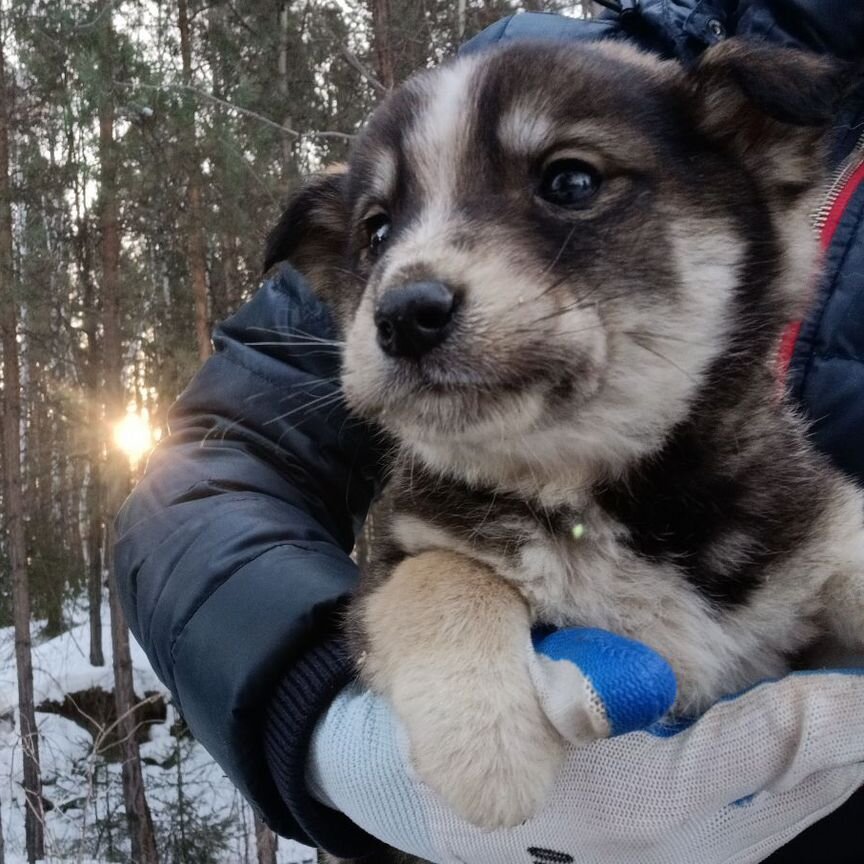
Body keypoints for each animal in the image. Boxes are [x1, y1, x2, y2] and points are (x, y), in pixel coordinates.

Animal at [264, 38, 864, 852]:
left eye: (570, 180)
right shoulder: (392, 557)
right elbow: (443, 575)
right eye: (376, 231)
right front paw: (485, 747)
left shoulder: (817, 530)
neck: (583, 489)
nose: (403, 313)